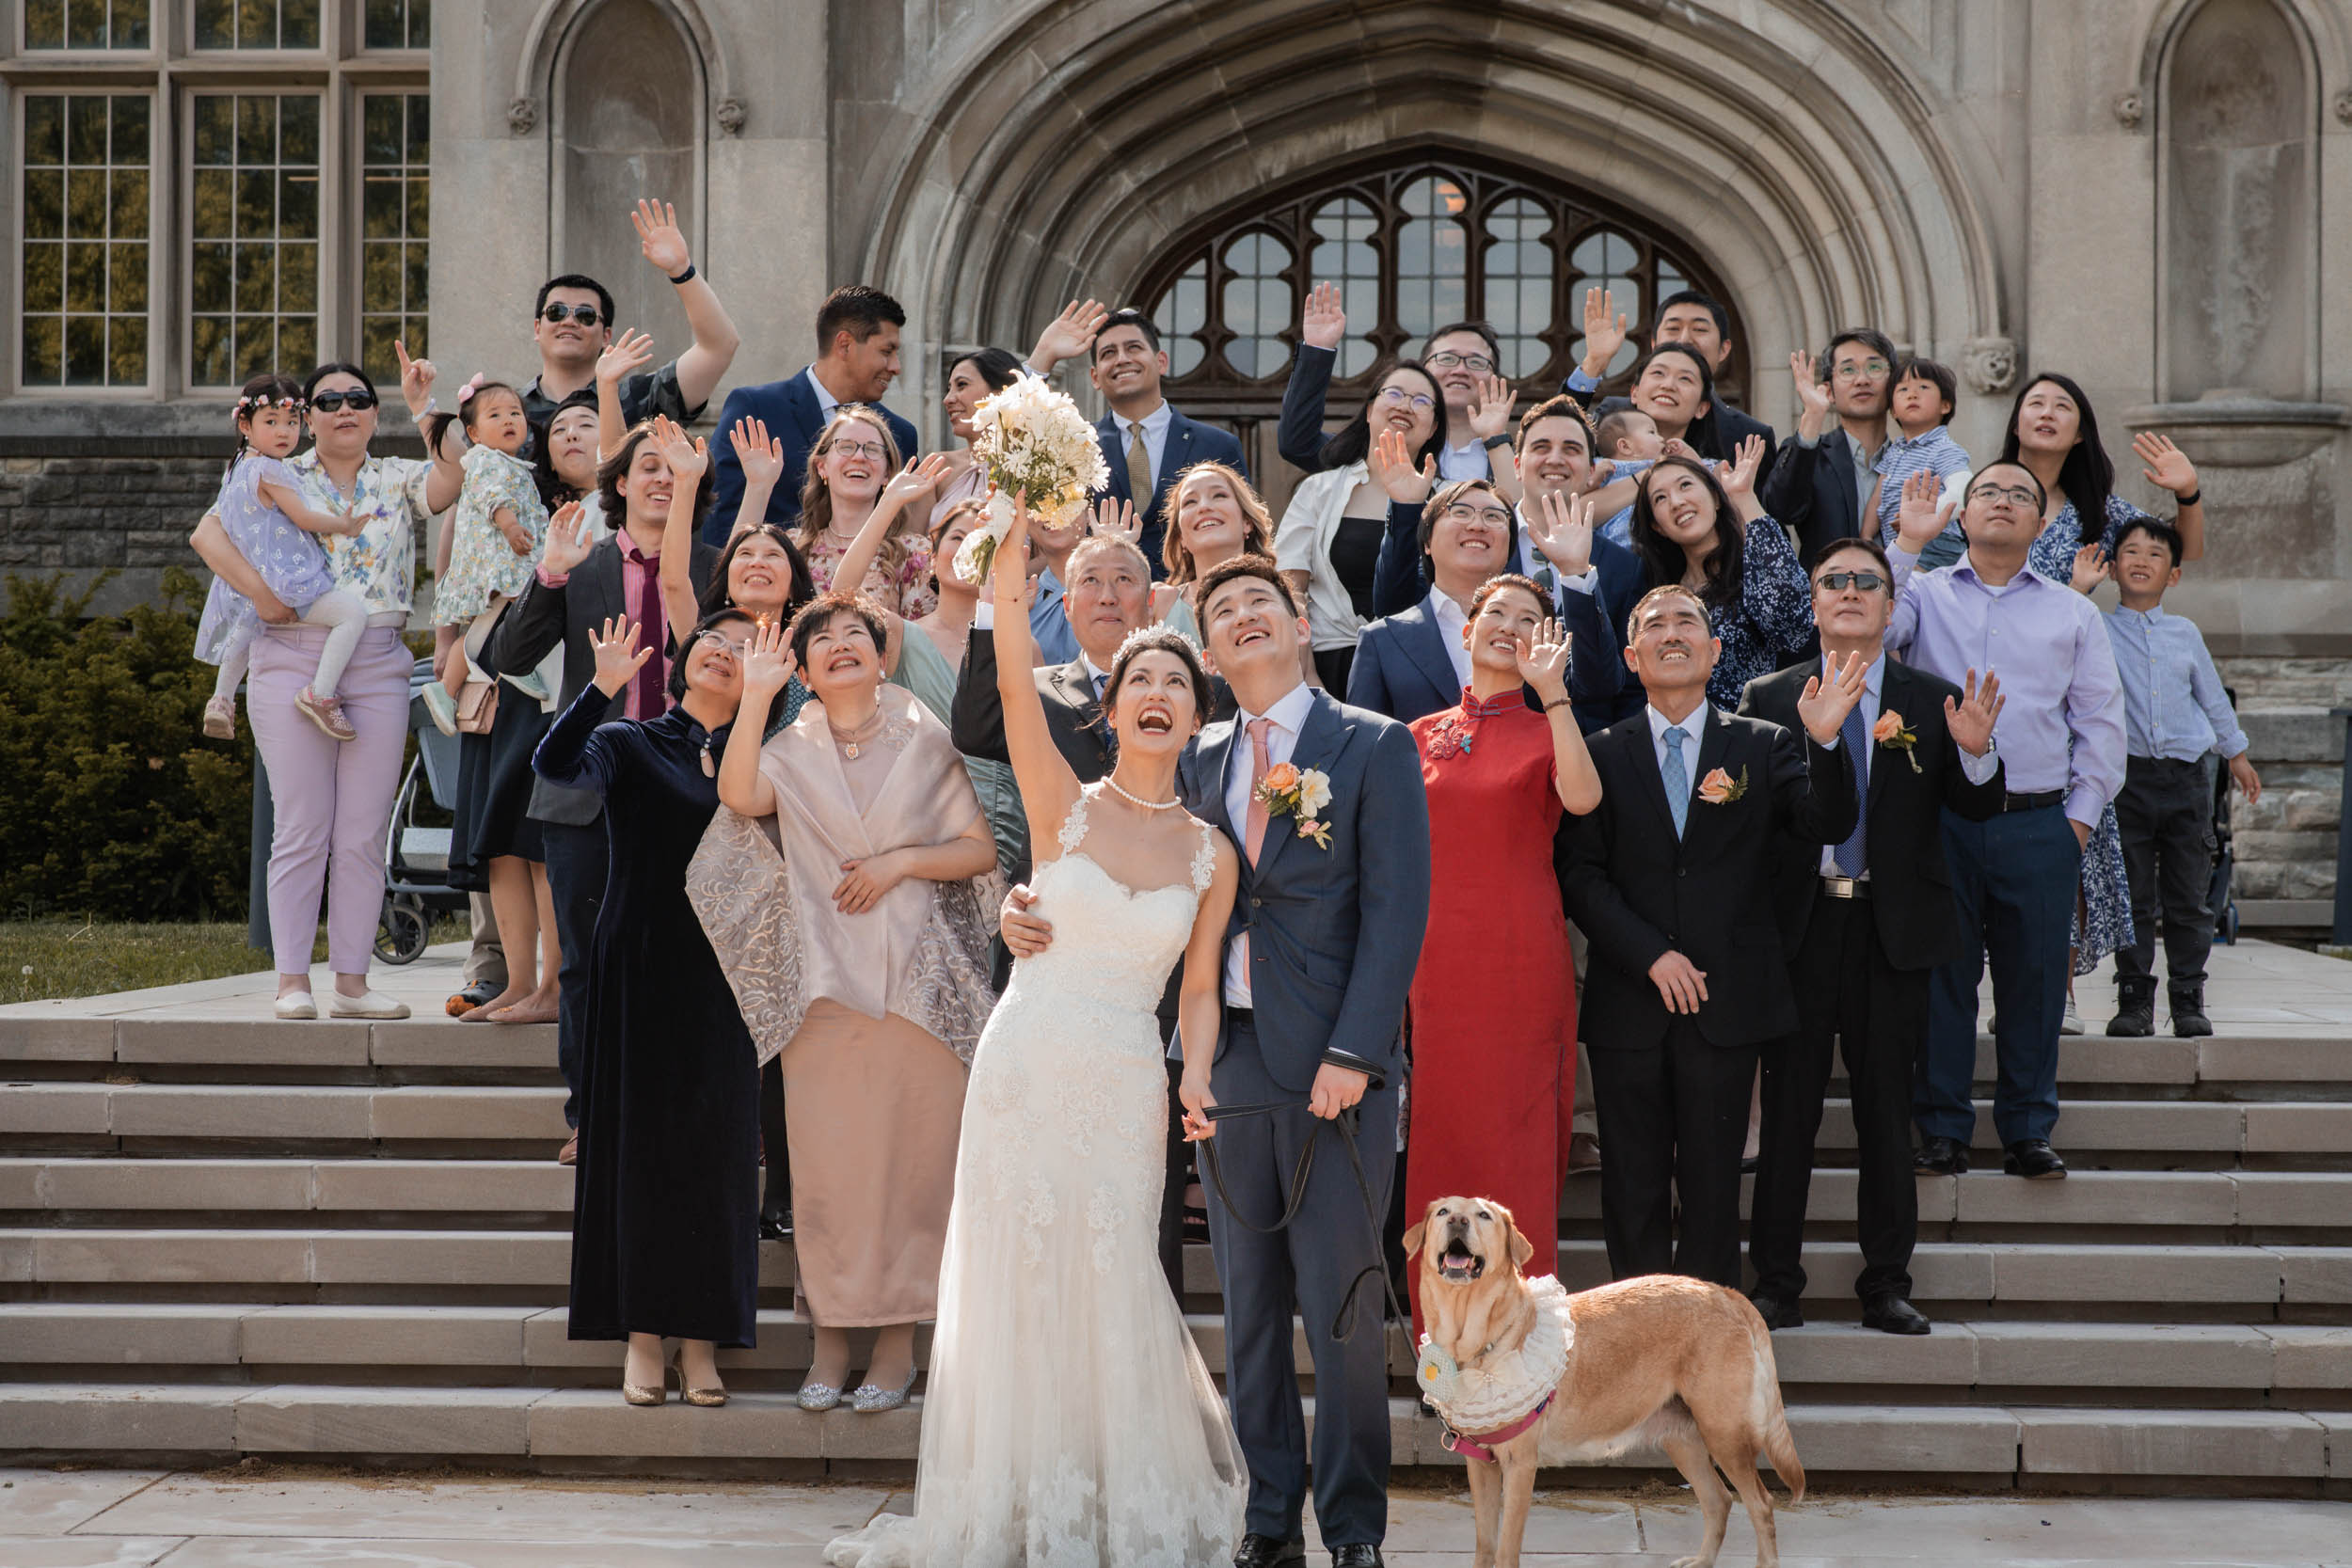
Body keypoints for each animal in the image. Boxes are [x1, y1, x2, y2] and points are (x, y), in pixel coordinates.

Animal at [1405, 1196, 1804, 1568]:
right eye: (1443, 1212)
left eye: (1484, 1215)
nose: (1458, 1221)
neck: (1478, 1344)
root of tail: (1726, 1293)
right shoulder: (1481, 1465)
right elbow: (1485, 1544)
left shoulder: (1520, 1465)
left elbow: (1505, 1549)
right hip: (1683, 1437)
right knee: (1719, 1500)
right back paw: (1701, 1561)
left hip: (1725, 1434)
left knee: (1761, 1505)